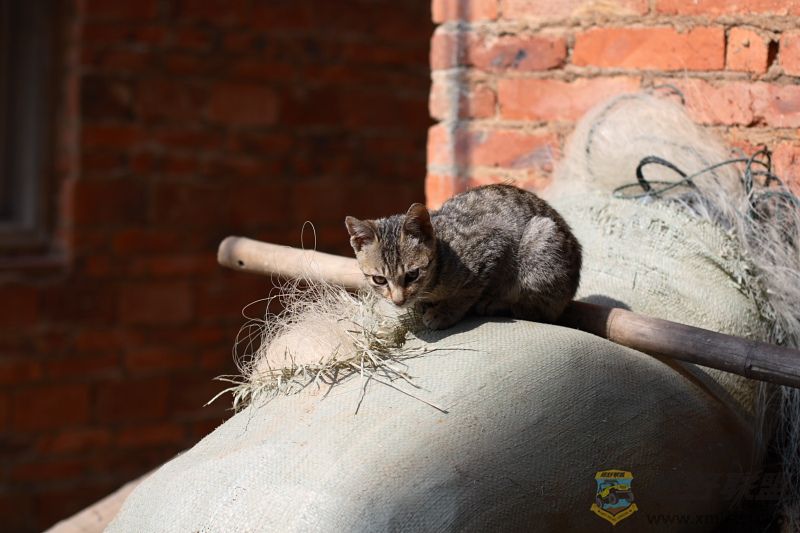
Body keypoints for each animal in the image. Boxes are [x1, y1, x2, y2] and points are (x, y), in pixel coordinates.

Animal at [345, 184, 582, 330]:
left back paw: (494, 303)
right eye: (379, 279)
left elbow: (466, 292)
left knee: (538, 310)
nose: (398, 301)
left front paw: (444, 313)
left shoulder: (492, 243)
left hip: (541, 242)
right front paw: (423, 305)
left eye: (412, 275)